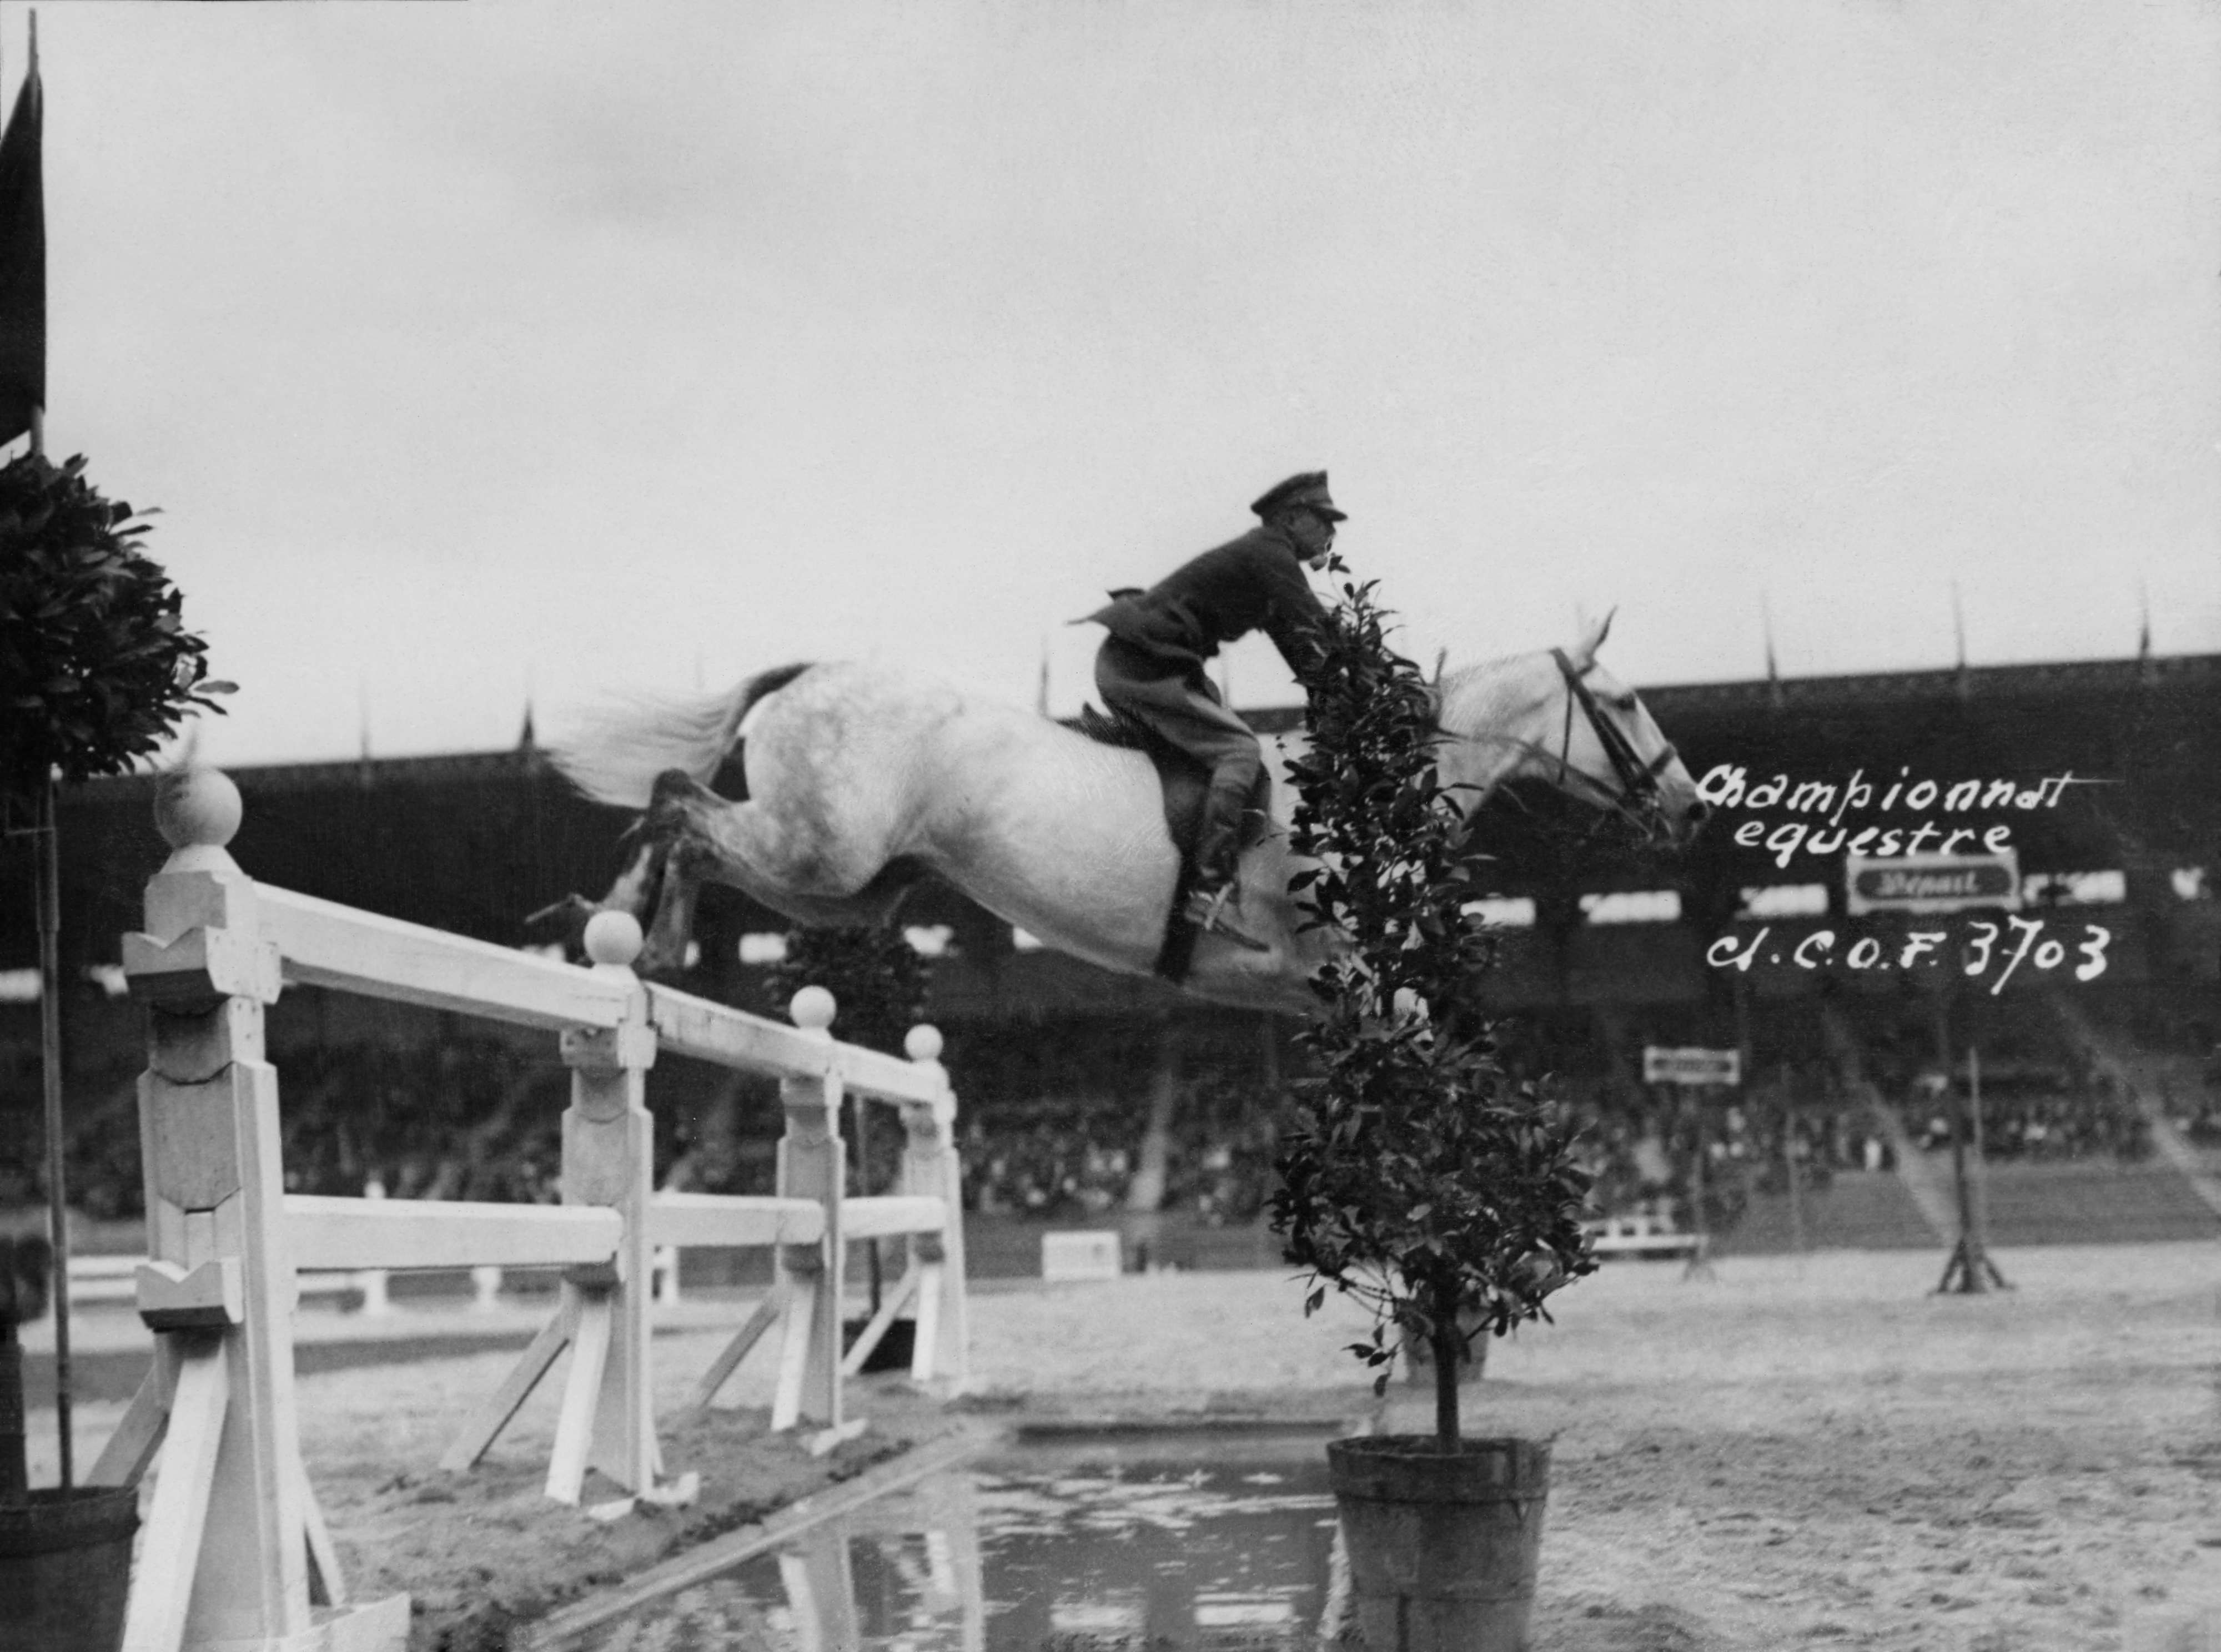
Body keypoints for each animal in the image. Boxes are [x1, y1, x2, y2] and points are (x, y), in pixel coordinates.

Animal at [551, 613, 1697, 1013]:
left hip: (853, 892)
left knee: (696, 824)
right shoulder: (1356, 975)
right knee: (678, 804)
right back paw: (630, 932)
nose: (1688, 803)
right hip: (819, 854)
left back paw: (639, 937)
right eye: (1625, 703)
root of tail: (816, 672)